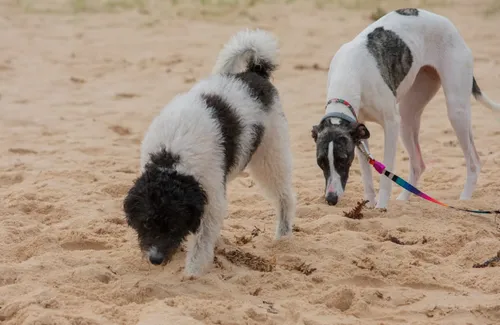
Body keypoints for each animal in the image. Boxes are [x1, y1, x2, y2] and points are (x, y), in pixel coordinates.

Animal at [124, 28, 296, 276]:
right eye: (146, 223)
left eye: (174, 225)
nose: (156, 260)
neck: (172, 160)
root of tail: (255, 73)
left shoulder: (212, 199)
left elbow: (201, 243)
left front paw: (192, 275)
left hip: (271, 155)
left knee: (285, 197)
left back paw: (283, 236)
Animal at [312, 9, 500, 210]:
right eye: (320, 162)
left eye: (342, 159)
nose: (331, 199)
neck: (350, 72)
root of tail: (447, 23)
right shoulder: (358, 130)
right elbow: (367, 174)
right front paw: (369, 204)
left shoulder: (390, 124)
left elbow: (386, 172)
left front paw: (381, 207)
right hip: (407, 117)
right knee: (418, 164)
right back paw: (404, 198)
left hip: (456, 110)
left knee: (473, 162)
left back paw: (465, 198)